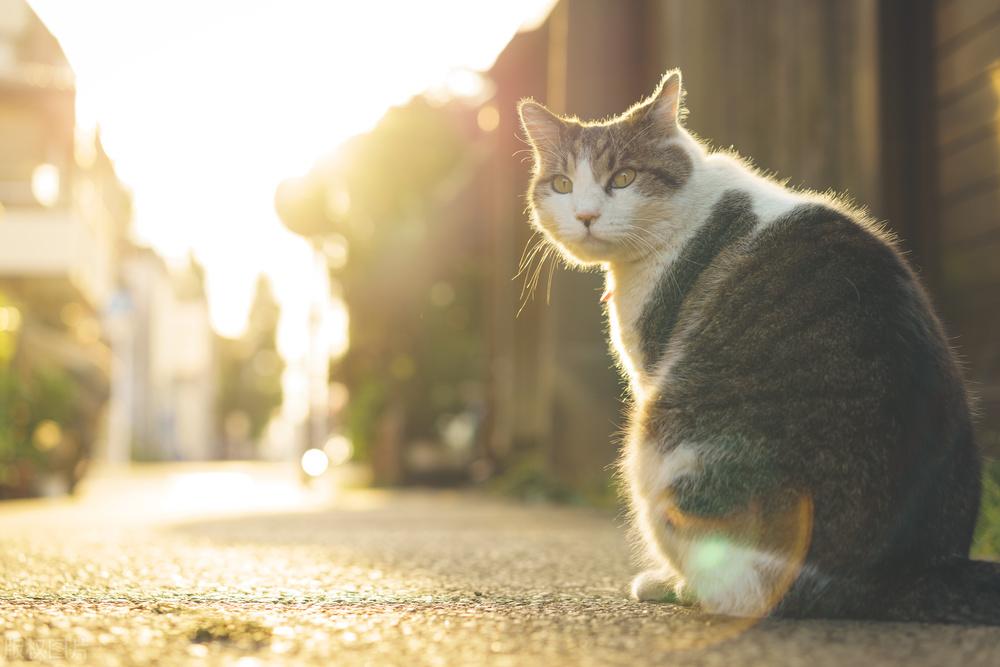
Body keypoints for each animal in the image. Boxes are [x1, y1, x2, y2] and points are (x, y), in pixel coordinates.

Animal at [516, 69, 1000, 628]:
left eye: (624, 178)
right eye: (562, 185)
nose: (586, 215)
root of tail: (907, 573)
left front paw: (666, 582)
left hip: (656, 442)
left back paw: (681, 587)